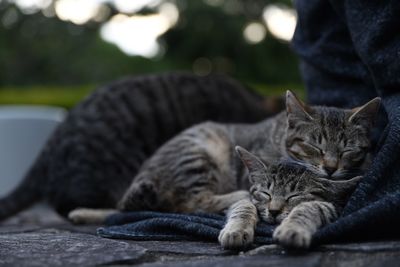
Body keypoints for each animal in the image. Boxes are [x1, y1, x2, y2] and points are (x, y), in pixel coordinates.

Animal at [219, 148, 362, 250]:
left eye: (294, 196)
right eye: (266, 193)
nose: (274, 211)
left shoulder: (335, 207)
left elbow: (309, 207)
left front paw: (292, 228)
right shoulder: (245, 198)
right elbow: (243, 206)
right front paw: (236, 230)